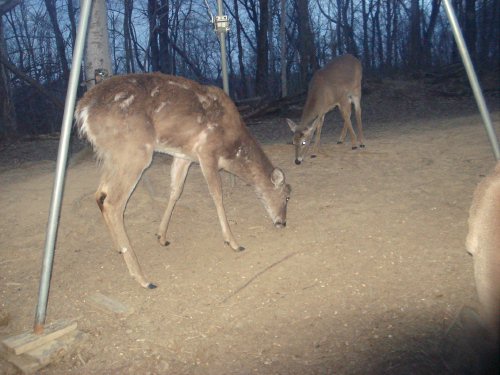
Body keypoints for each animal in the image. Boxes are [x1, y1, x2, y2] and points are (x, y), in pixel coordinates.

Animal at [75, 73, 292, 290]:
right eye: (287, 196)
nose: (282, 222)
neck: (232, 148)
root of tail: (83, 112)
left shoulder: (184, 156)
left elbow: (176, 190)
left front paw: (161, 236)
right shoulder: (207, 151)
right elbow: (217, 194)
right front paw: (233, 242)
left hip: (112, 156)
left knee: (100, 194)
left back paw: (120, 248)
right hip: (134, 151)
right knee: (113, 202)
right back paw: (143, 278)